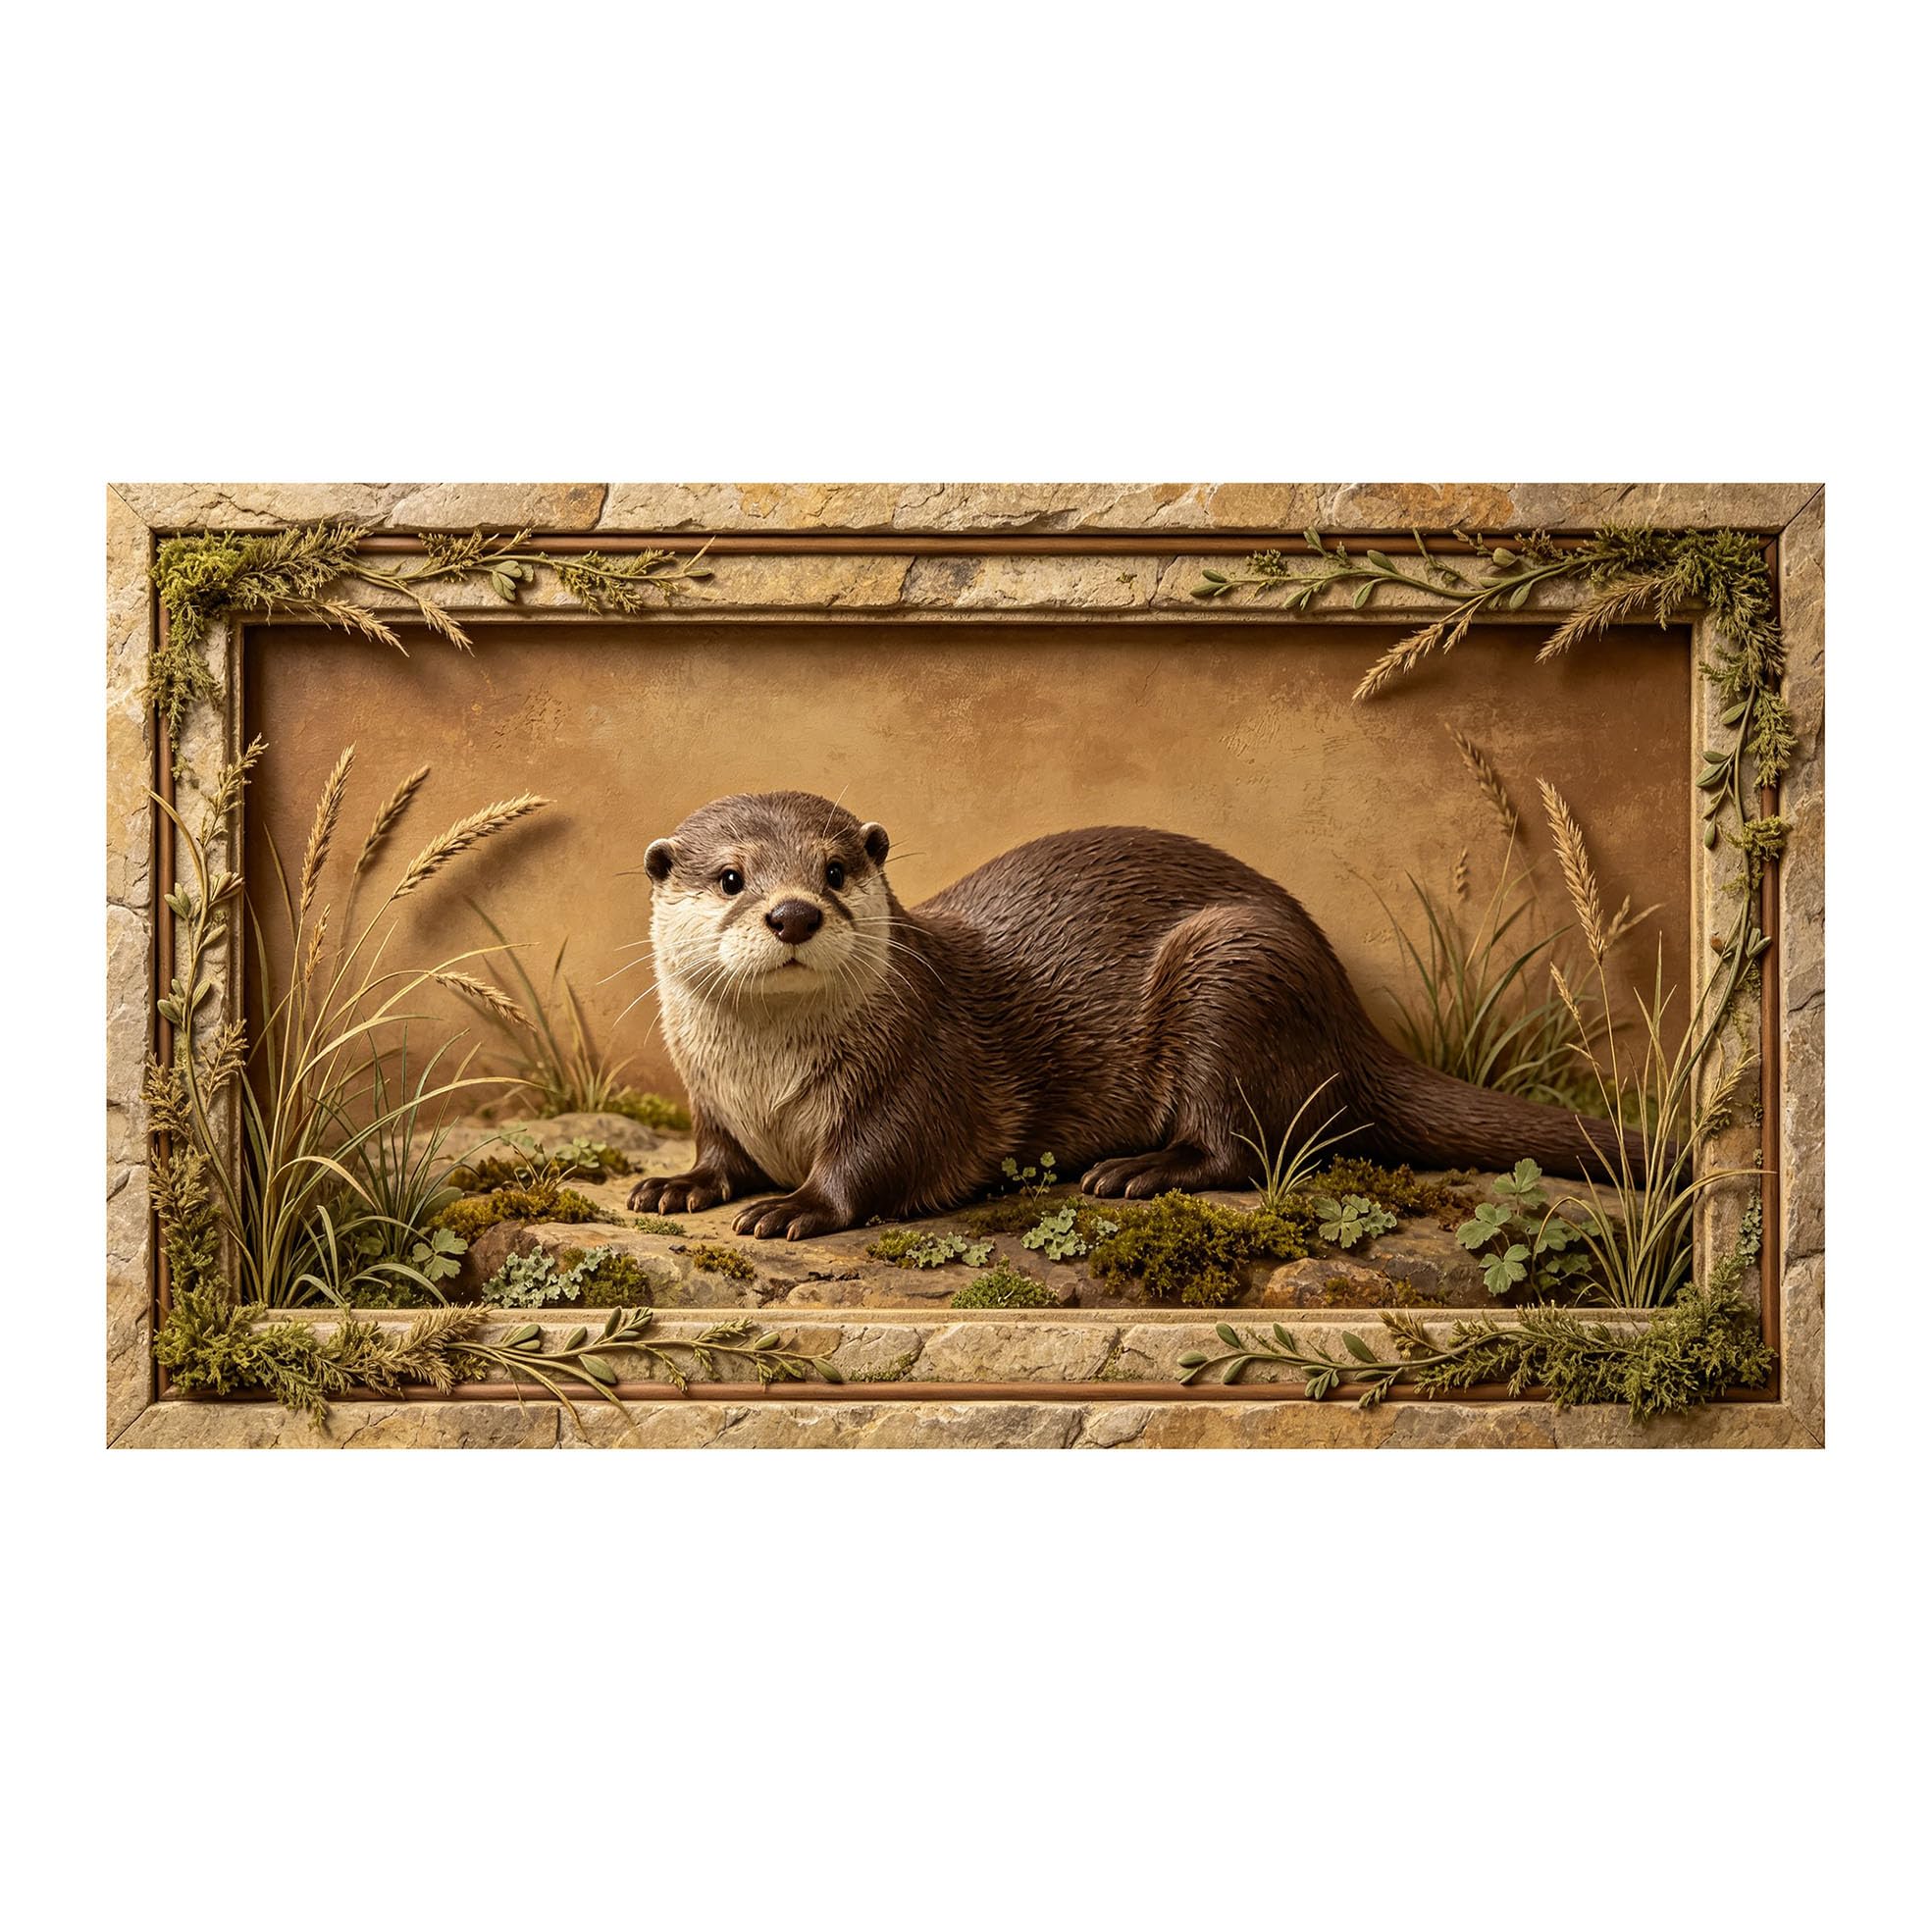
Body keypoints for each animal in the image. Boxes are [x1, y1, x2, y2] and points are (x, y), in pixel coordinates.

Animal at [627, 790, 1647, 1240]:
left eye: (835, 870)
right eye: (731, 878)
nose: (793, 912)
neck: (767, 1086)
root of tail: (1349, 1019)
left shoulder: (923, 1069)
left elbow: (878, 1159)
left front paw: (794, 1204)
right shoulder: (709, 1097)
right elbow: (716, 1152)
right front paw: (679, 1184)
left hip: (1234, 971)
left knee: (1244, 1147)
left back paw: (1135, 1171)